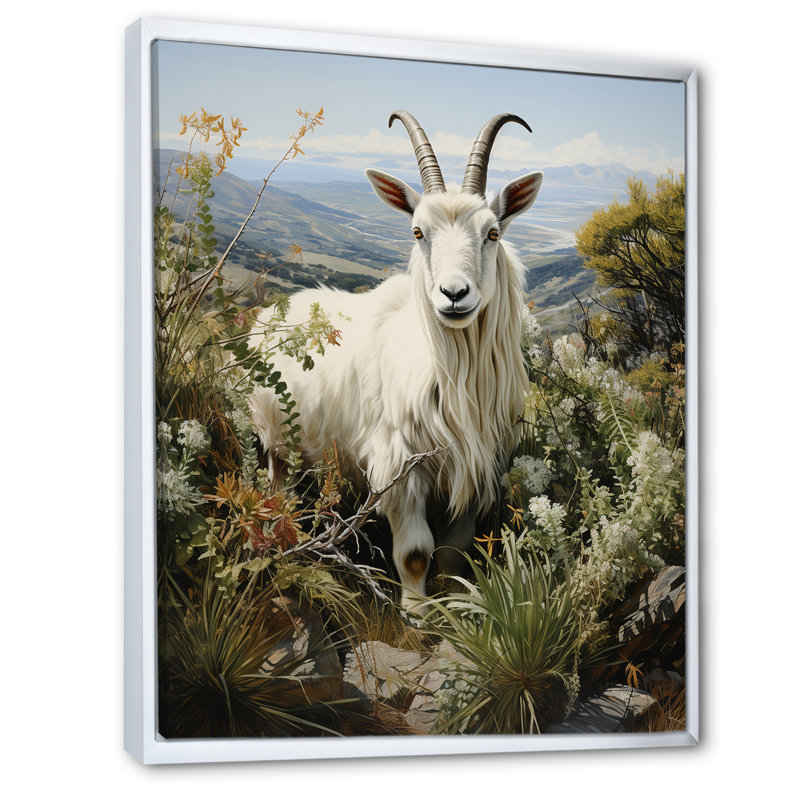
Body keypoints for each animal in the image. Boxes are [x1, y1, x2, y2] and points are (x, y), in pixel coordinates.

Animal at [250, 110, 543, 607]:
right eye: (418, 232)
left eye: (493, 232)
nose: (453, 294)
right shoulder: (399, 467)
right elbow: (416, 553)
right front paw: (417, 613)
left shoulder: (474, 472)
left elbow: (454, 553)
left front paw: (455, 605)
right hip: (275, 439)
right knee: (278, 487)